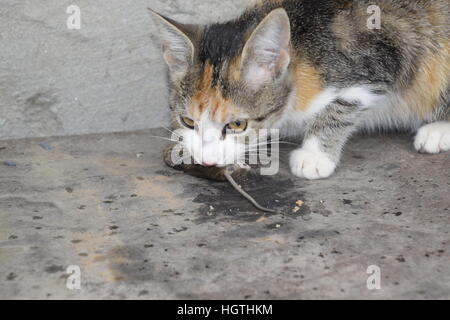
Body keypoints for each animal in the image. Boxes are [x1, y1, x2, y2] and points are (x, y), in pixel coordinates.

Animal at [152, 0, 450, 180]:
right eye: (187, 121)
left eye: (237, 125)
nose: (208, 161)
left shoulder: (382, 55)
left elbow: (344, 104)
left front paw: (315, 154)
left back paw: (438, 129)